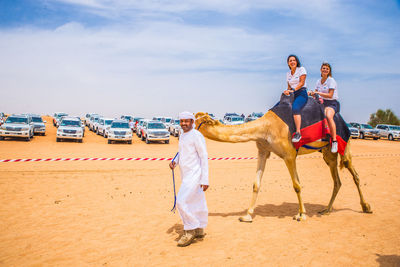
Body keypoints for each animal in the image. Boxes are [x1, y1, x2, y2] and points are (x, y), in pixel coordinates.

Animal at [194, 111, 372, 222]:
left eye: (198, 122)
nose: (187, 128)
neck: (265, 127)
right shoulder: (263, 151)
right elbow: (256, 184)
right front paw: (247, 216)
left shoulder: (289, 155)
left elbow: (297, 185)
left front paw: (301, 215)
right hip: (328, 153)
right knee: (337, 180)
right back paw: (327, 210)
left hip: (344, 144)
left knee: (353, 173)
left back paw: (366, 207)